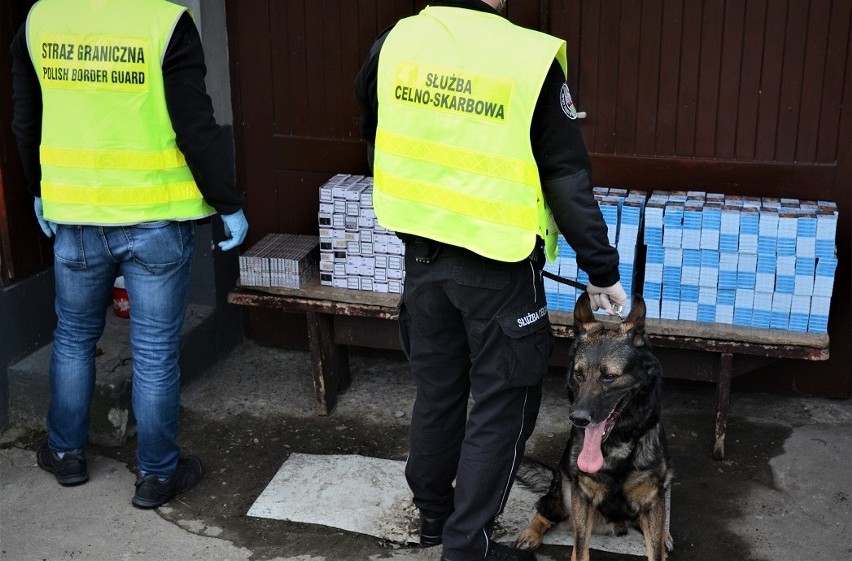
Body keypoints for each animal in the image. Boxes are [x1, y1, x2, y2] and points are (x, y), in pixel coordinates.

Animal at [512, 294, 672, 560]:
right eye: (579, 374)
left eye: (609, 377)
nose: (577, 418)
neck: (618, 444)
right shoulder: (582, 499)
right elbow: (580, 549)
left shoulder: (653, 501)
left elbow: (656, 549)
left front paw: (662, 541)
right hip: (563, 496)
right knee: (544, 509)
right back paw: (531, 533)